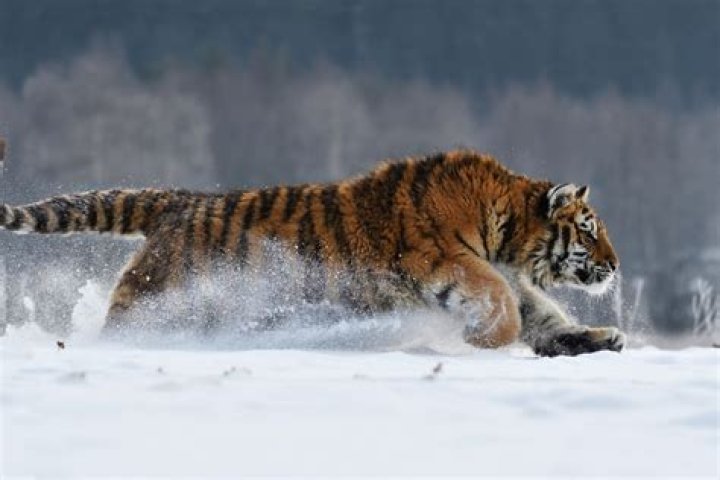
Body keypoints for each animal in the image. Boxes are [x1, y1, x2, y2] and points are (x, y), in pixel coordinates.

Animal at [0, 150, 624, 356]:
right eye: (589, 229)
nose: (616, 266)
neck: (509, 234)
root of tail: (177, 201)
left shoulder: (508, 277)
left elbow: (545, 316)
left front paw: (600, 339)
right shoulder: (445, 261)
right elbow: (504, 307)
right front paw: (480, 339)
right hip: (157, 298)